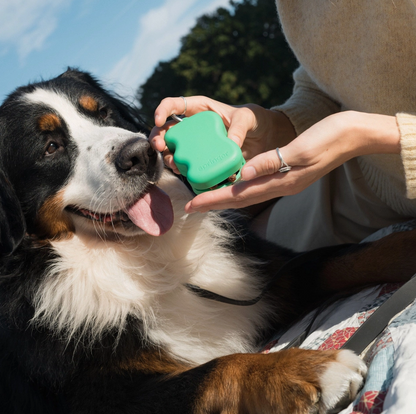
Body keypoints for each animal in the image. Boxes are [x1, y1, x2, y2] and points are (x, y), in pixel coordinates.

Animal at [0, 68, 412, 414]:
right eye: (50, 147)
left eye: (103, 113)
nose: (140, 153)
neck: (149, 261)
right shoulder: (98, 395)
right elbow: (216, 370)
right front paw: (305, 370)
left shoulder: (268, 272)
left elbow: (348, 258)